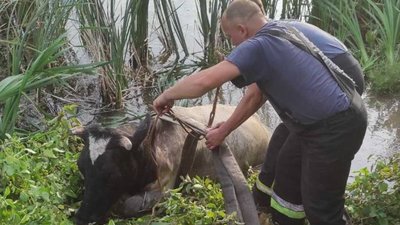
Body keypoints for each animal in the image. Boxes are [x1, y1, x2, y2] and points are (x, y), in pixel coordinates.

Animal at [73, 104, 270, 224]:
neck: (152, 146)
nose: (82, 217)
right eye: (81, 168)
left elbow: (129, 205)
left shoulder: (166, 190)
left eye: (111, 174)